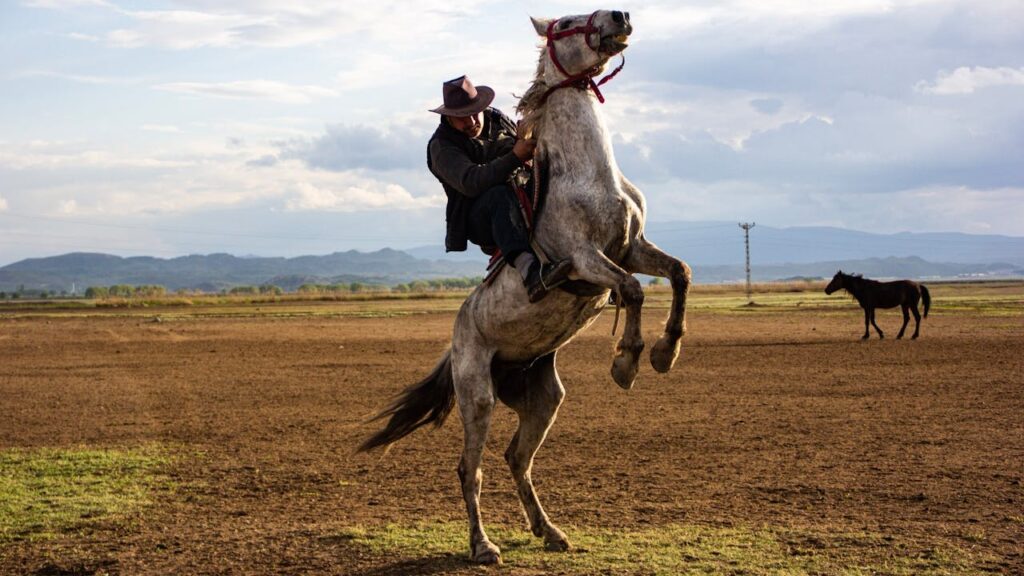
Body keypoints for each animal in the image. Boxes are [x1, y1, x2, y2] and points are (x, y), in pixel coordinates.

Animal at [358, 10, 692, 565]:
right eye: (568, 21)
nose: (621, 16)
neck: (589, 175)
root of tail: (456, 342)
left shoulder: (633, 247)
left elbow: (680, 274)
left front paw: (665, 353)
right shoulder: (585, 260)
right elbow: (634, 291)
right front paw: (626, 361)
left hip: (543, 398)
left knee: (517, 458)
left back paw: (550, 530)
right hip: (479, 398)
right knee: (470, 470)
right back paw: (483, 546)